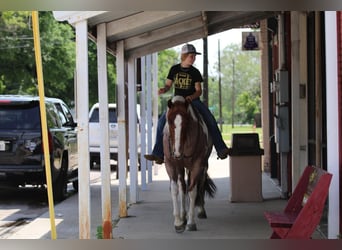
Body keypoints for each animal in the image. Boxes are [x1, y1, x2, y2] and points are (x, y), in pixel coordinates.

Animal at [164, 95, 216, 232]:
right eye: (169, 121)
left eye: (186, 122)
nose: (177, 152)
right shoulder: (171, 164)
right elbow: (175, 189)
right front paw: (178, 222)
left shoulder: (197, 165)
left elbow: (193, 191)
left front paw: (191, 223)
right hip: (181, 167)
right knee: (182, 186)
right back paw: (183, 216)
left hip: (203, 165)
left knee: (201, 184)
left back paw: (201, 211)